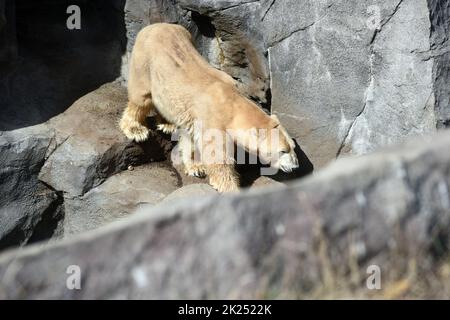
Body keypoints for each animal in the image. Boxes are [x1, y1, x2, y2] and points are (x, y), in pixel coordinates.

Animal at [118, 23, 298, 192]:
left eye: (293, 147)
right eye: (283, 151)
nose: (295, 166)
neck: (231, 102)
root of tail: (154, 26)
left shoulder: (194, 119)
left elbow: (189, 137)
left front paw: (196, 167)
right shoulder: (213, 121)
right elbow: (217, 155)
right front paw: (230, 187)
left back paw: (167, 124)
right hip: (145, 63)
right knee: (141, 98)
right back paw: (136, 129)